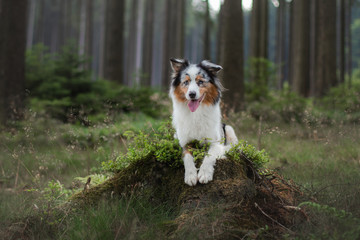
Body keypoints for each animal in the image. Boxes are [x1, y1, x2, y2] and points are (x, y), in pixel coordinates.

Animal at [169, 57, 238, 186]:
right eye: (186, 82)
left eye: (200, 82)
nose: (192, 94)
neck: (196, 113)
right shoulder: (184, 143)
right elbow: (187, 156)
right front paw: (190, 175)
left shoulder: (215, 142)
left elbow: (209, 155)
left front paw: (205, 174)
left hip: (229, 130)